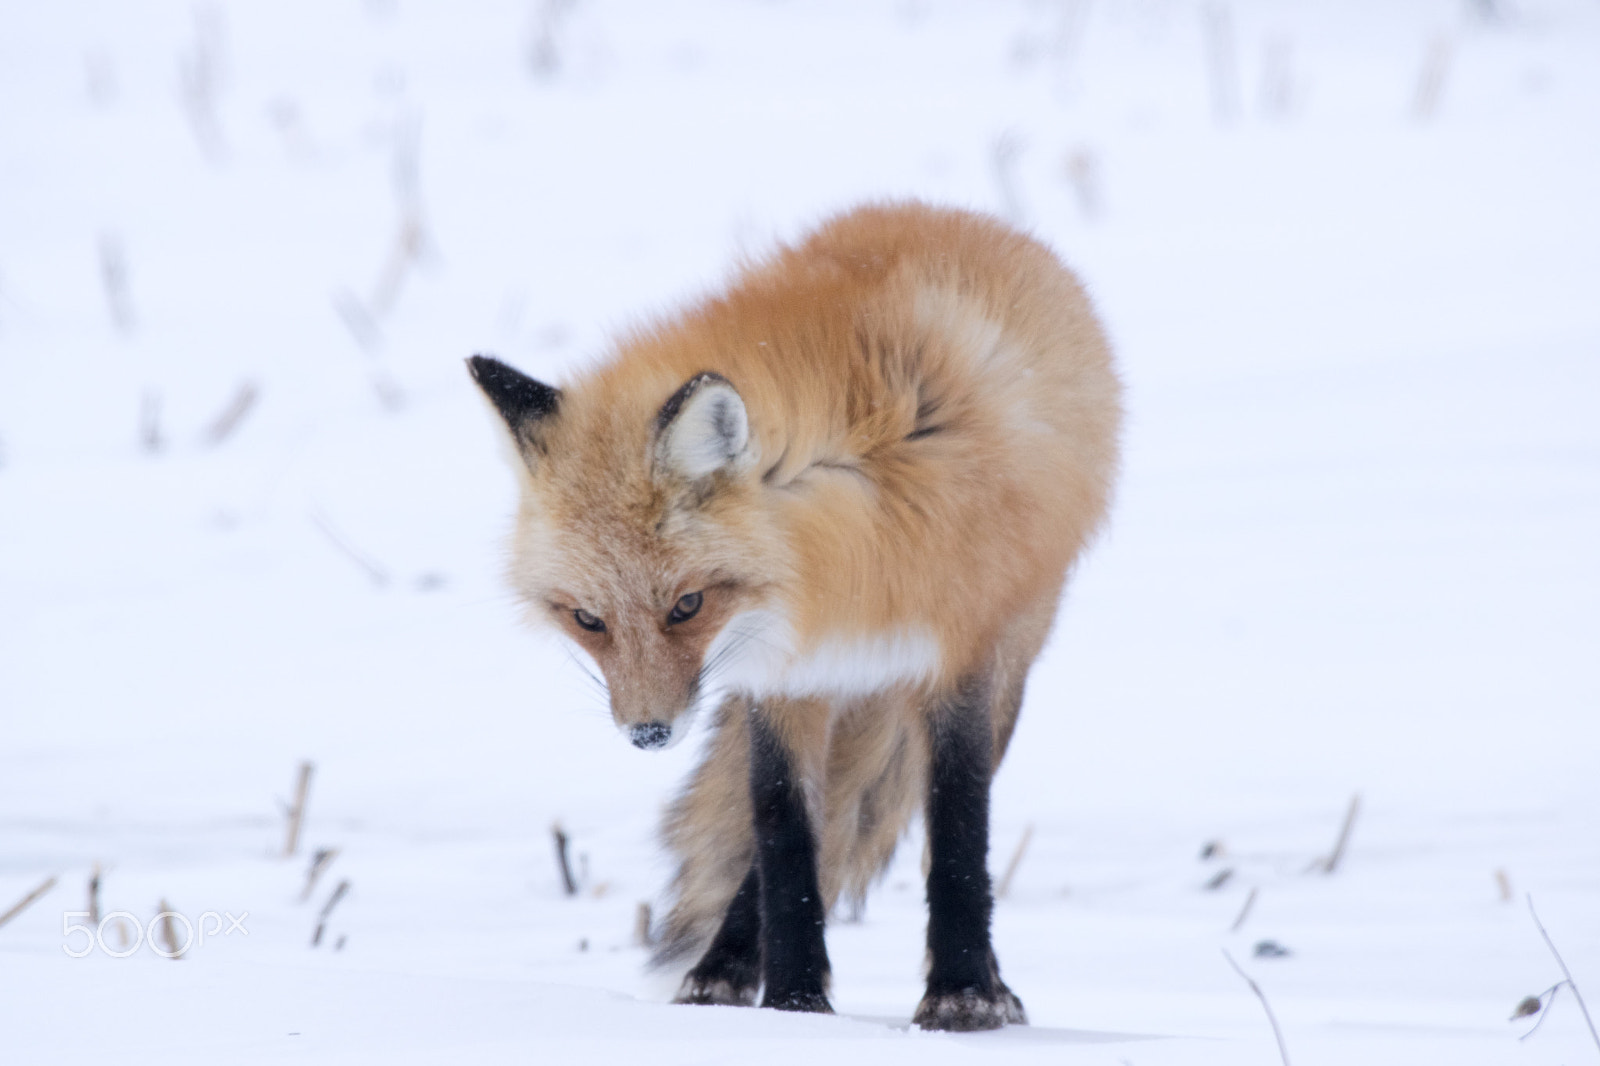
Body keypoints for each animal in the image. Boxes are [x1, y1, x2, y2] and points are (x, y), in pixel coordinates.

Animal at [468, 202, 1120, 1031]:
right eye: (588, 619)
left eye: (686, 605)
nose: (647, 734)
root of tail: (964, 217)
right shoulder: (781, 678)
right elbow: (782, 838)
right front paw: (794, 1002)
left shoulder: (962, 656)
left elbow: (957, 830)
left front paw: (963, 993)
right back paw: (724, 968)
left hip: (1017, 648)